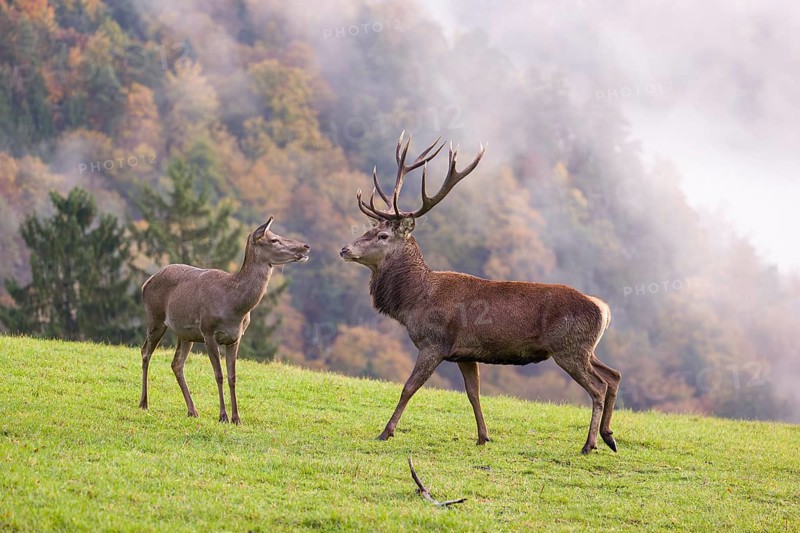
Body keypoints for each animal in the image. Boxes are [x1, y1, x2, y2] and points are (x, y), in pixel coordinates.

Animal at [138, 217, 310, 424]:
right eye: (274, 239)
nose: (306, 246)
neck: (234, 306)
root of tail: (145, 283)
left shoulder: (235, 338)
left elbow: (232, 376)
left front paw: (237, 418)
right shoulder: (208, 332)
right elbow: (219, 375)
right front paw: (223, 416)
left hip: (185, 334)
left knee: (176, 363)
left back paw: (192, 410)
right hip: (155, 317)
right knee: (145, 352)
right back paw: (144, 403)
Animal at [340, 132, 621, 454]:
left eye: (382, 235)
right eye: (370, 230)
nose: (344, 249)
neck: (414, 300)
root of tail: (603, 309)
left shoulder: (434, 342)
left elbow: (409, 387)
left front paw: (386, 431)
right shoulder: (464, 353)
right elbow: (473, 393)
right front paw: (483, 436)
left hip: (568, 348)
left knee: (598, 386)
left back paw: (590, 444)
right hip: (585, 348)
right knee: (614, 375)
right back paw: (609, 436)